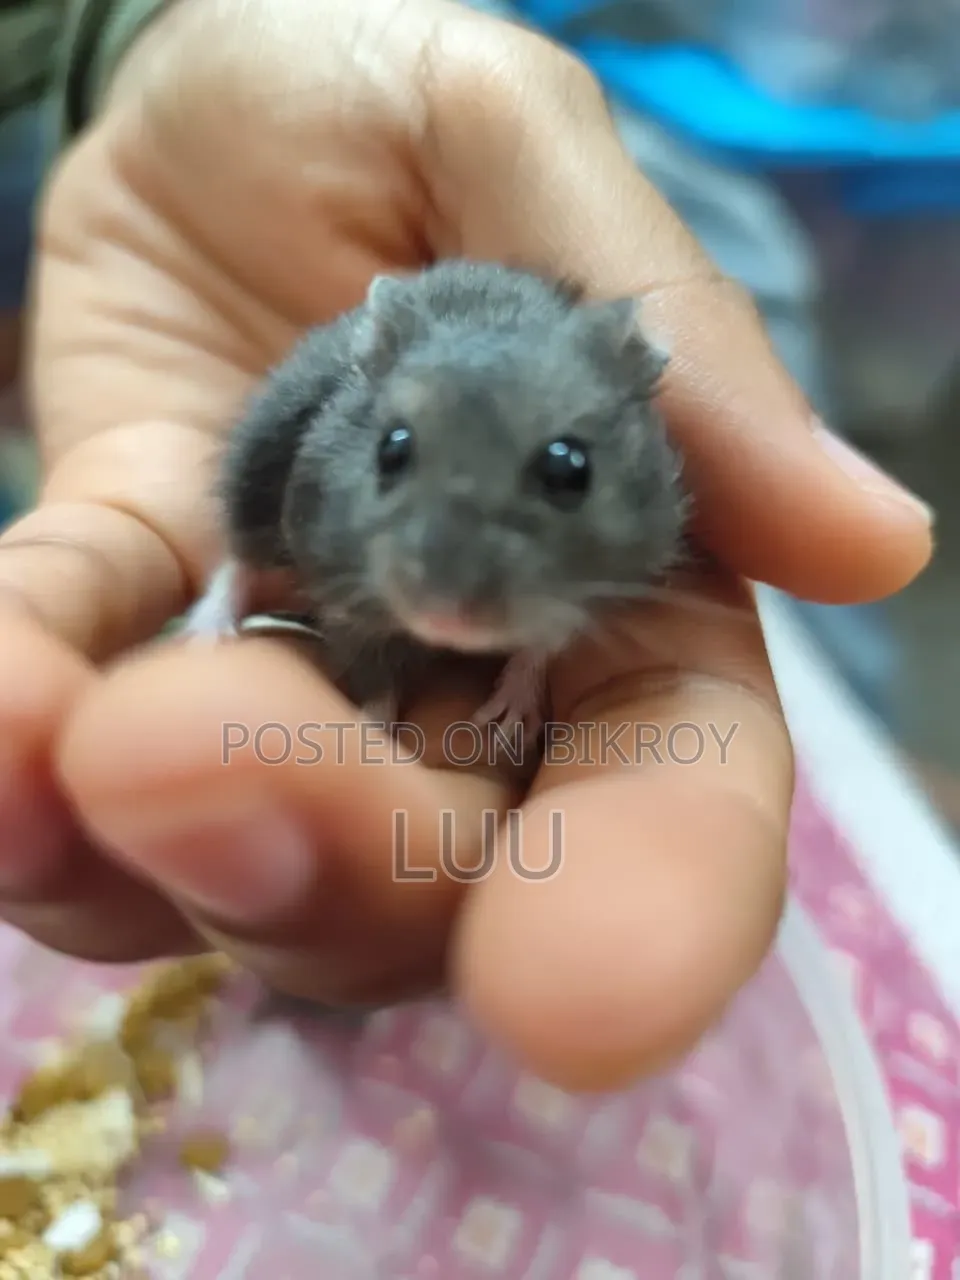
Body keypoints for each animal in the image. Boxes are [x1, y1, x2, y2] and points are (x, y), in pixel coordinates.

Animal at [182, 258, 689, 742]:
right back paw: (206, 637)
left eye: (568, 469)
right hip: (258, 456)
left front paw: (506, 721)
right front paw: (371, 733)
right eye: (392, 449)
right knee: (241, 555)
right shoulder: (343, 591)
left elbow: (542, 643)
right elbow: (376, 674)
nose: (444, 621)